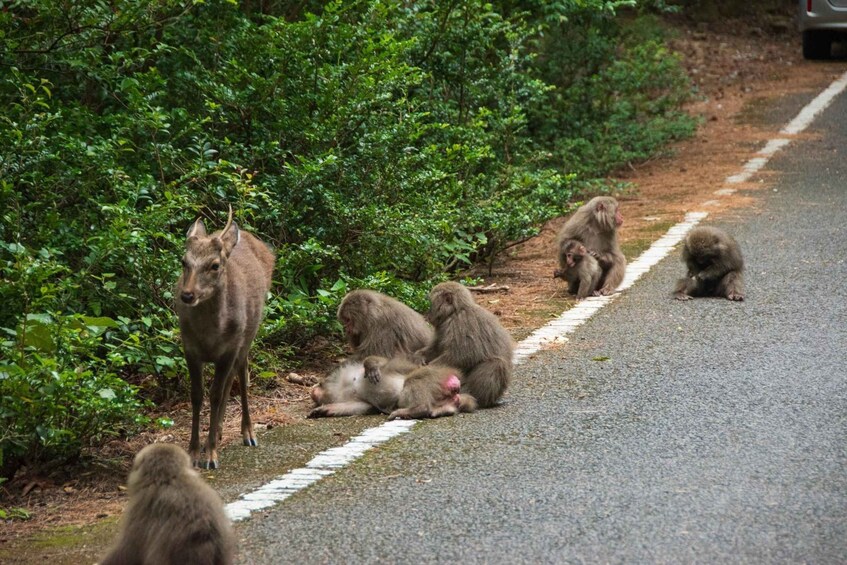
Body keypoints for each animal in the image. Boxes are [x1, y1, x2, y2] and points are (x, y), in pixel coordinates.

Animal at [308, 356, 476, 419]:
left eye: (321, 383)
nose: (312, 391)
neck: (348, 384)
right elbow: (362, 406)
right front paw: (324, 410)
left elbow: (382, 362)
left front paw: (371, 366)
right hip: (447, 399)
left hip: (436, 376)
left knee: (413, 379)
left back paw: (417, 409)